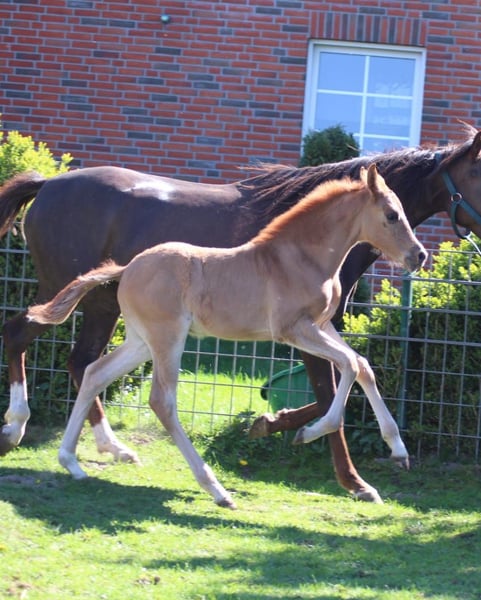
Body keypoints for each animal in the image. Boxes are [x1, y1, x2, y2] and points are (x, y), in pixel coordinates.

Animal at [1, 125, 481, 503]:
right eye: (391, 214)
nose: (419, 256)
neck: (299, 252)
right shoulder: (295, 331)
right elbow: (336, 382)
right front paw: (345, 472)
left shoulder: (323, 324)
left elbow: (360, 366)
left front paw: (392, 449)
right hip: (134, 324)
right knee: (45, 345)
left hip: (125, 327)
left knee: (89, 368)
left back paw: (88, 455)